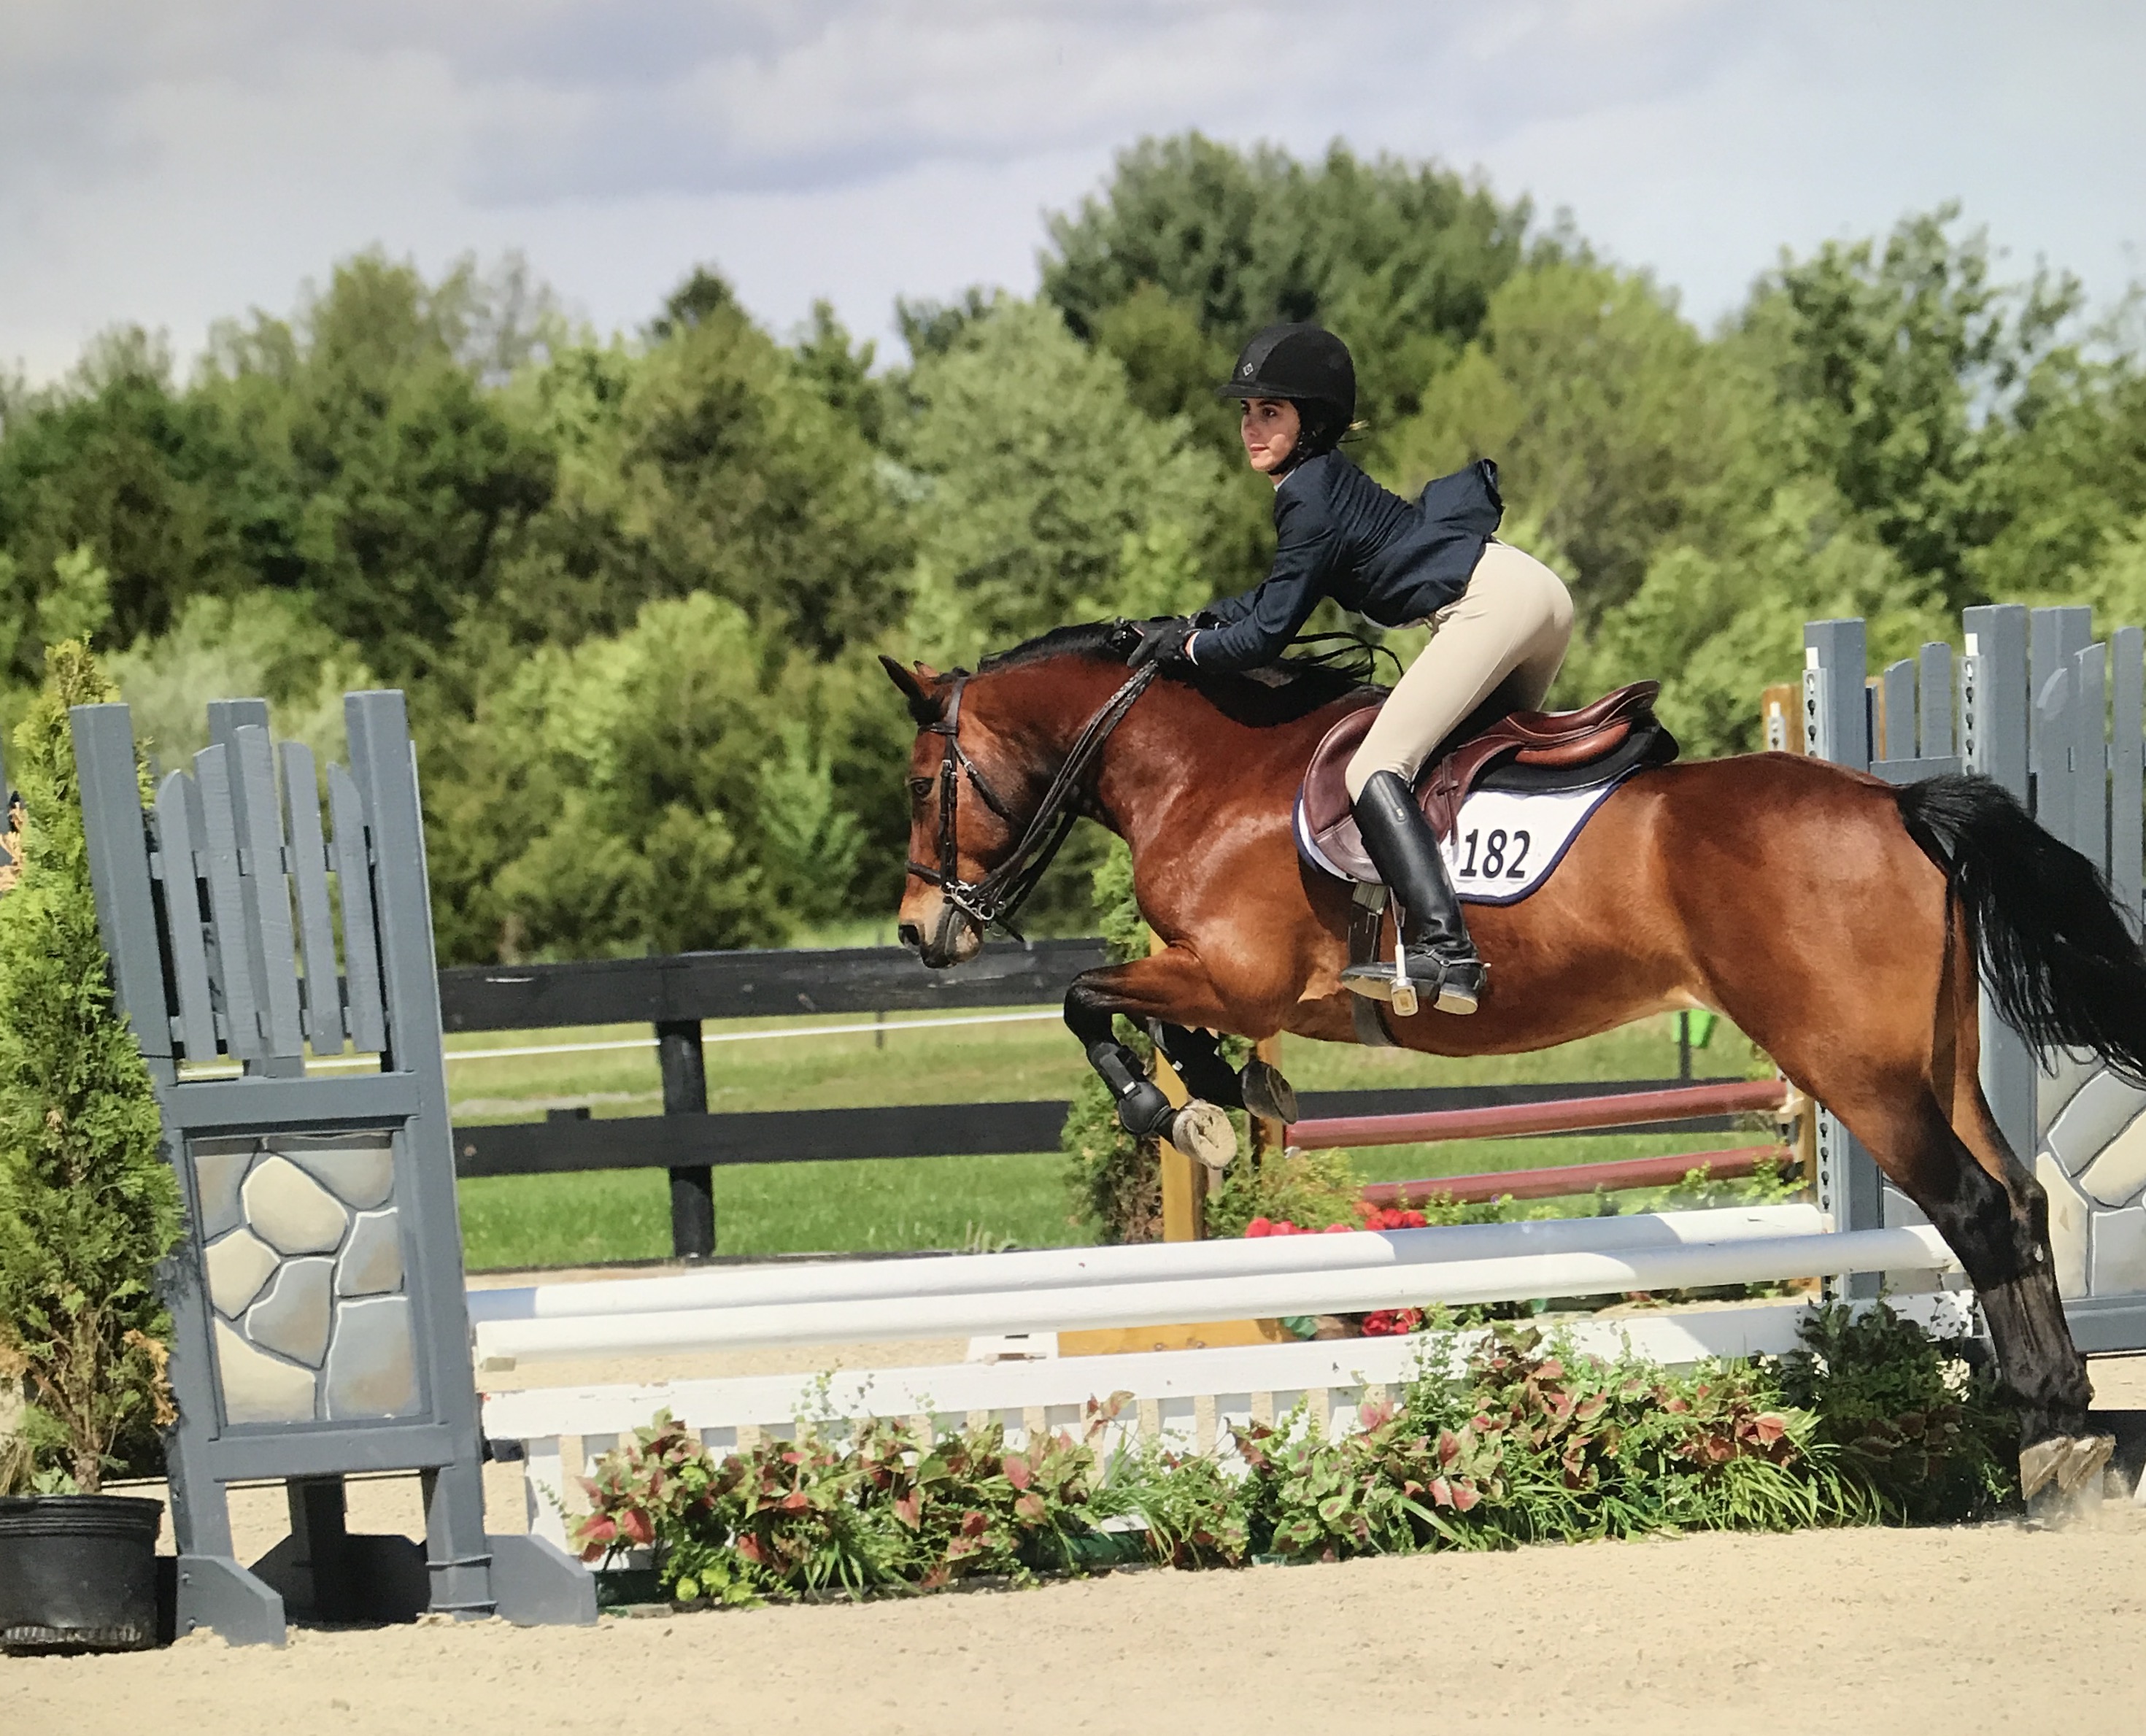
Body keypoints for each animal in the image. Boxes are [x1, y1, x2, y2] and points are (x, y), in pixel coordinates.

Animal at [879, 622, 2137, 1493]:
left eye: (920, 782)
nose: (920, 932)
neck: (1203, 769)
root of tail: (1896, 801)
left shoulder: (1236, 976)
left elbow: (1085, 998)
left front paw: (1177, 1109)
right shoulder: (1222, 982)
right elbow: (1141, 1012)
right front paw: (1223, 1093)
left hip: (1856, 1070)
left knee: (1975, 1208)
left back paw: (2042, 1440)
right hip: (1936, 1059)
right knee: (2019, 1198)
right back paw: (2061, 1415)